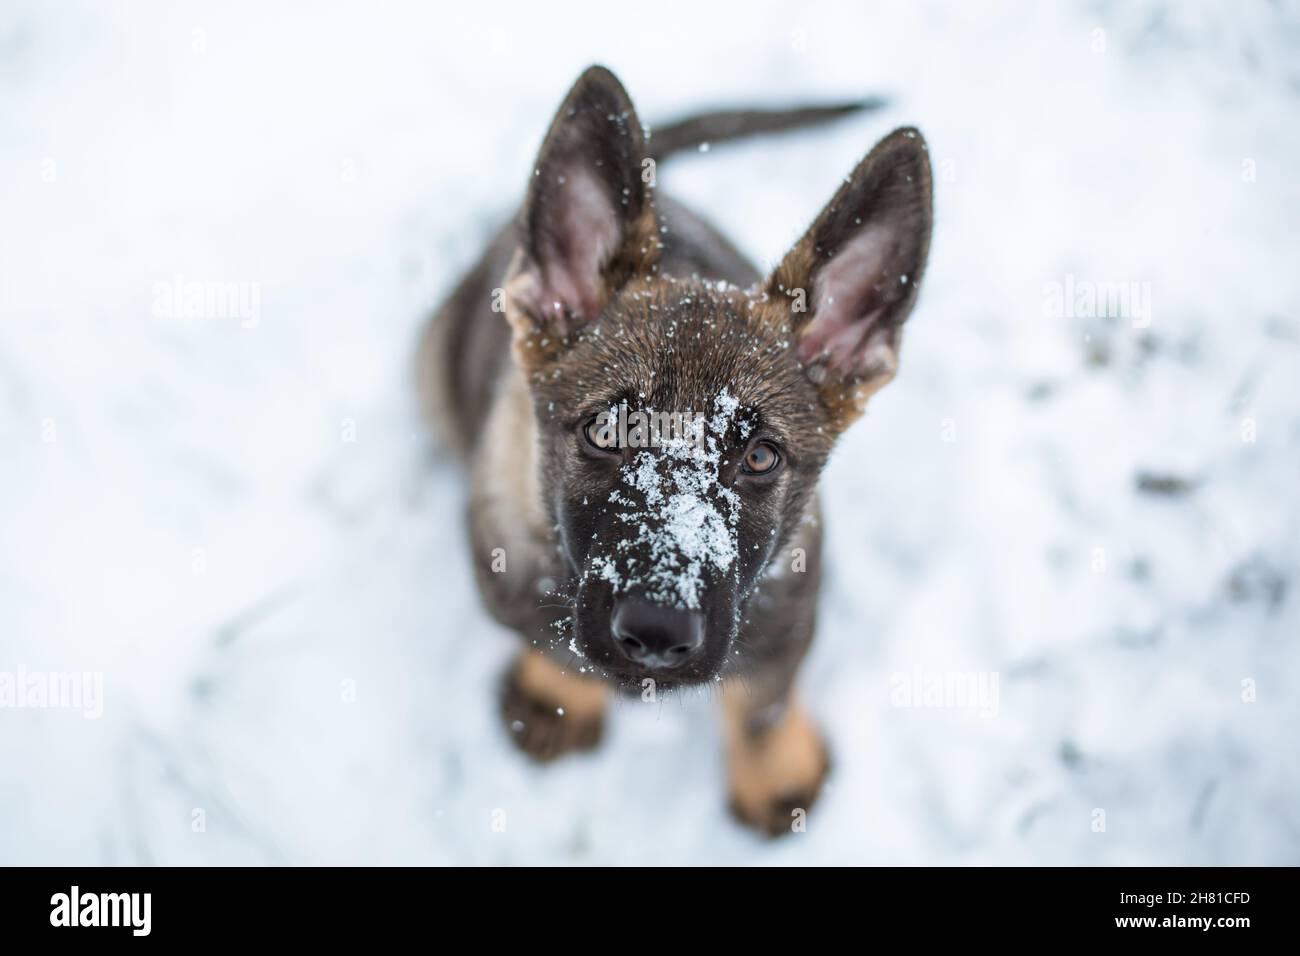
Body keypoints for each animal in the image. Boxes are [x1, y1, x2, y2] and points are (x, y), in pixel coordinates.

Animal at [423, 63, 935, 832]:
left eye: (760, 457)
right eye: (604, 431)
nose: (658, 633)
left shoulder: (791, 604)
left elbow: (762, 697)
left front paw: (772, 772)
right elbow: (553, 645)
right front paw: (555, 699)